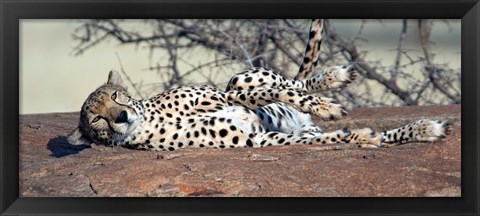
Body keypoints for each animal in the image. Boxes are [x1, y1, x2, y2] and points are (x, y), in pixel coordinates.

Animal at [68, 19, 454, 150]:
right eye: (96, 120)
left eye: (116, 96)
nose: (120, 117)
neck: (149, 117)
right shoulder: (257, 138)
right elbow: (327, 137)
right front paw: (360, 137)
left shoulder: (226, 94)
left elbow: (274, 91)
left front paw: (328, 105)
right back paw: (424, 129)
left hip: (237, 75)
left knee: (292, 80)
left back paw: (335, 78)